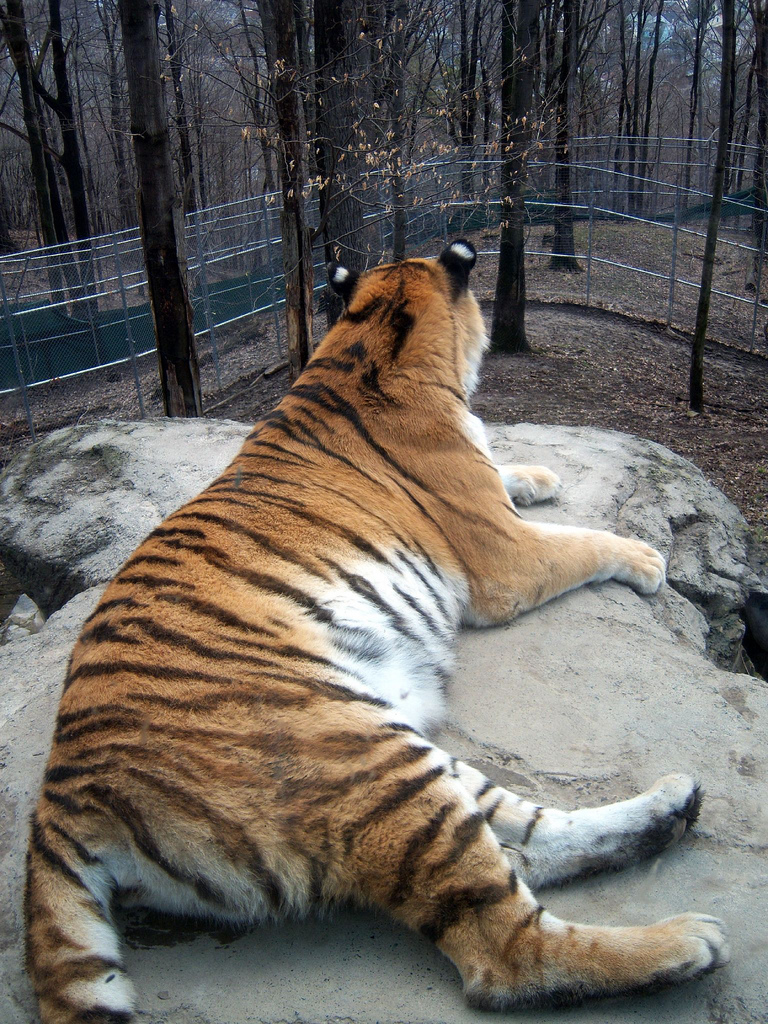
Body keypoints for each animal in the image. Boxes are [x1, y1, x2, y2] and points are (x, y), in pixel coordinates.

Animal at [25, 239, 728, 1024]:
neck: (366, 344)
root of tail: (62, 795)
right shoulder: (507, 559)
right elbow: (583, 542)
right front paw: (646, 559)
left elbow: (513, 476)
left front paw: (538, 474)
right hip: (364, 764)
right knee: (507, 952)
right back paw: (684, 943)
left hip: (406, 753)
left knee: (529, 836)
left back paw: (673, 806)